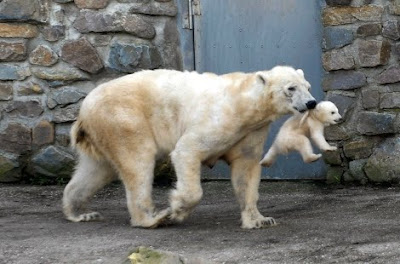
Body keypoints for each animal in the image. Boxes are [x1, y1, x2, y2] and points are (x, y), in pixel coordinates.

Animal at [63, 65, 316, 228]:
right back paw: (153, 218)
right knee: (138, 162)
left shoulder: (250, 132)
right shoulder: (219, 121)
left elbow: (246, 171)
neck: (245, 104)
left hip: (103, 132)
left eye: (308, 85)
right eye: (291, 88)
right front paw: (177, 209)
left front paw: (259, 220)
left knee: (97, 170)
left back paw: (79, 212)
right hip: (123, 120)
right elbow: (187, 150)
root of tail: (84, 110)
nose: (311, 102)